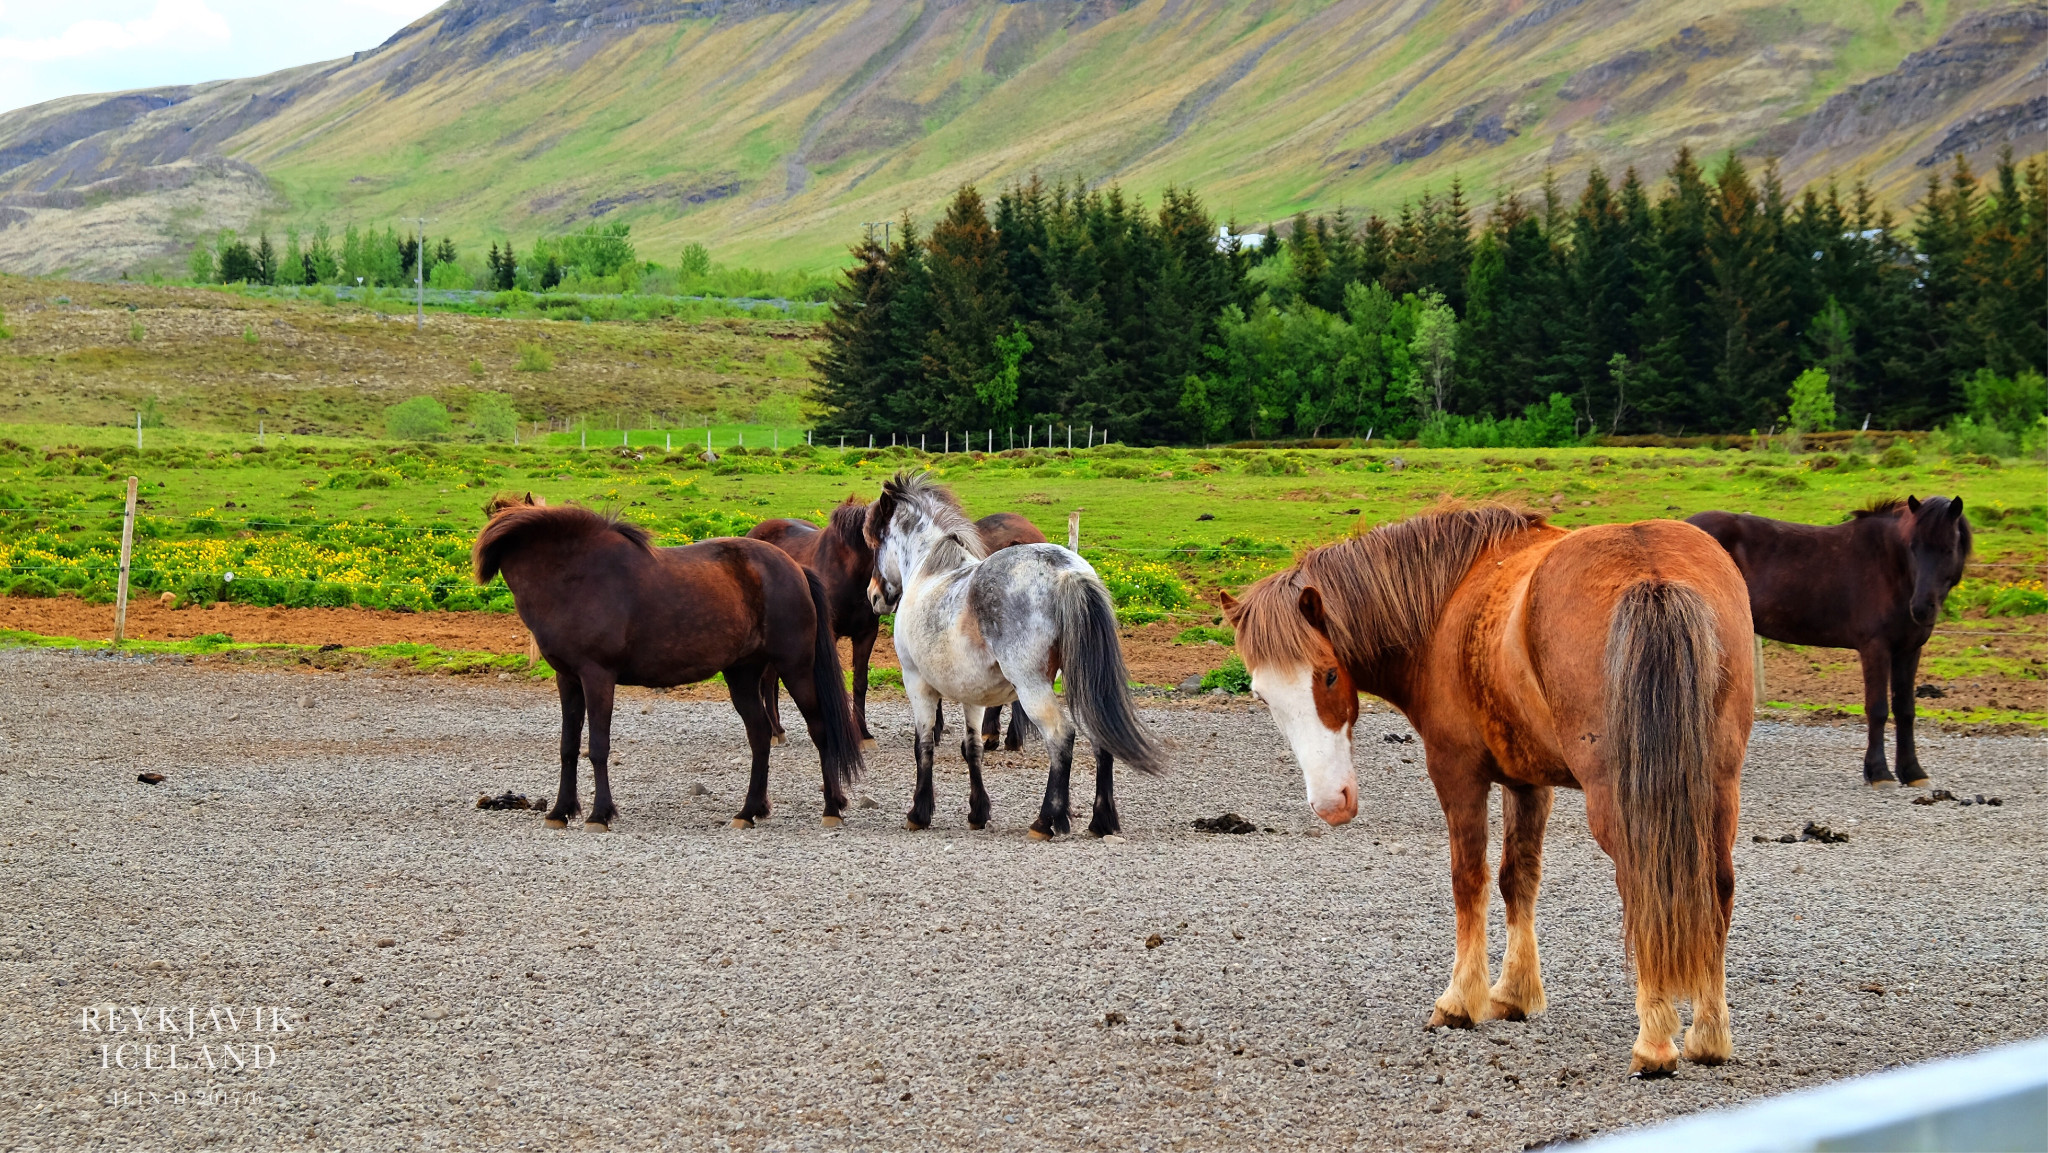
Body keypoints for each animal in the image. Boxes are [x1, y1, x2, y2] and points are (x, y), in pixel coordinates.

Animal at [473, 505, 864, 831]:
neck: (577, 576)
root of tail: (795, 567)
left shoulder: (597, 677)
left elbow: (597, 746)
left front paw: (600, 815)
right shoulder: (568, 679)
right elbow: (568, 747)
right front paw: (560, 812)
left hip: (795, 668)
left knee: (820, 730)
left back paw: (831, 808)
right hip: (742, 673)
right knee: (759, 734)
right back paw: (748, 811)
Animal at [864, 471, 1171, 839]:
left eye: (874, 542)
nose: (873, 596)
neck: (929, 571)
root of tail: (1067, 571)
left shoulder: (916, 682)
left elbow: (923, 744)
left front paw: (919, 813)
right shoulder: (972, 694)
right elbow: (972, 748)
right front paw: (978, 812)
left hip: (1031, 687)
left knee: (1060, 738)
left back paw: (1045, 821)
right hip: (1082, 684)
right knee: (1100, 740)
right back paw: (1100, 821)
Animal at [1220, 507, 1753, 1081]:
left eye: (1329, 675)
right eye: (1262, 696)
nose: (1329, 803)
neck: (1446, 602)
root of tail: (1652, 572)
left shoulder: (1457, 776)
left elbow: (1468, 881)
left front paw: (1460, 1001)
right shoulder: (1527, 782)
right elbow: (1517, 879)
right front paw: (1514, 994)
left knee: (1645, 886)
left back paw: (1655, 1041)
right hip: (1716, 787)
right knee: (1716, 886)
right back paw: (1708, 1036)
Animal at [1687, 501, 1974, 790]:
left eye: (1948, 549)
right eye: (1913, 546)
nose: (1922, 609)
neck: (1890, 566)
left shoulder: (1908, 650)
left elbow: (1905, 710)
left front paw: (1912, 771)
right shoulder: (1876, 648)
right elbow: (1878, 709)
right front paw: (1879, 773)